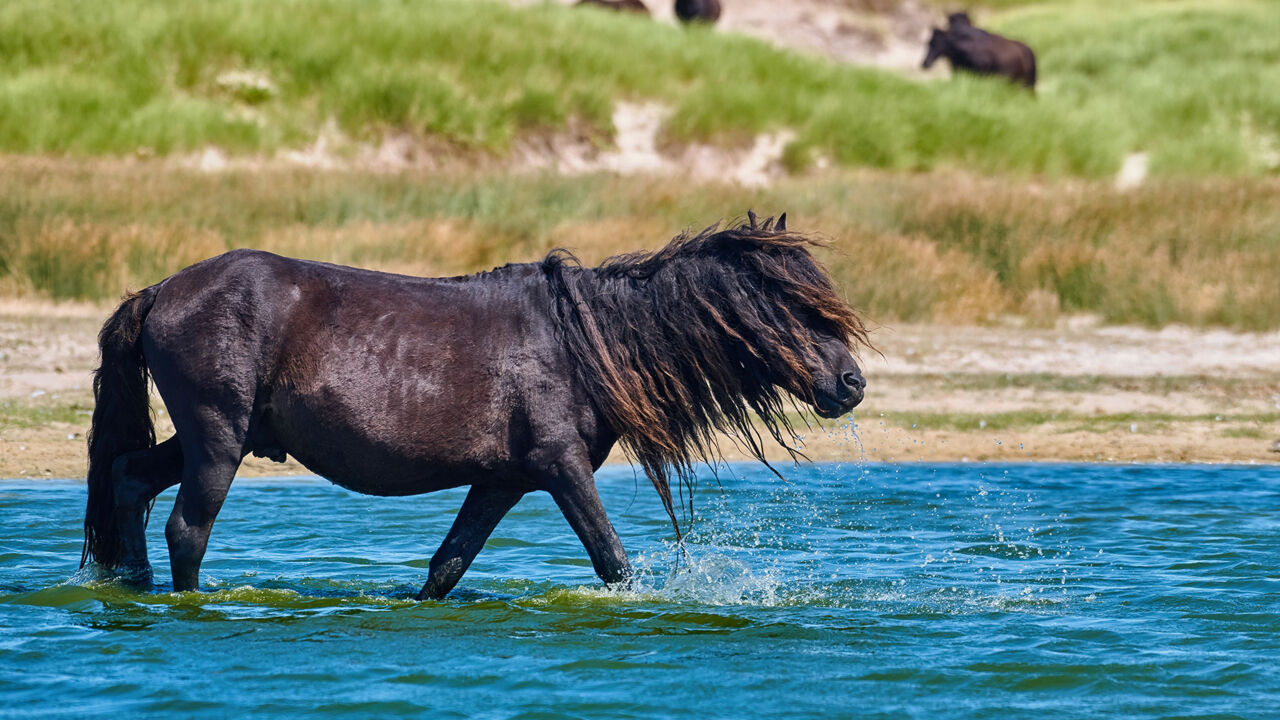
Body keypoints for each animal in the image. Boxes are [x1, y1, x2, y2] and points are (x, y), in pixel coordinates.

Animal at [82, 213, 870, 599]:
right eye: (794, 305)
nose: (851, 382)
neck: (582, 342)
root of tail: (162, 290)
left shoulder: (501, 481)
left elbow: (447, 566)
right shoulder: (560, 467)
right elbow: (612, 561)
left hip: (214, 439)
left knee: (128, 480)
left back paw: (131, 588)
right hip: (217, 441)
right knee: (186, 530)